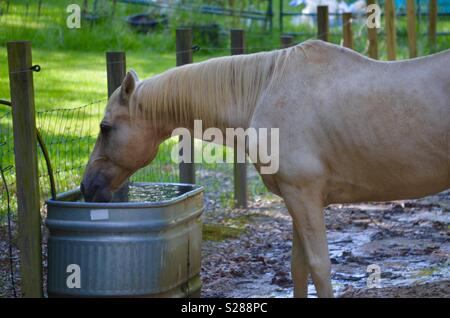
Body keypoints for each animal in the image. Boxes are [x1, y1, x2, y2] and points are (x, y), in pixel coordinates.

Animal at [81, 41, 450, 296]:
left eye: (105, 127)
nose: (87, 188)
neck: (264, 93)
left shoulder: (303, 196)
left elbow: (319, 267)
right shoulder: (299, 200)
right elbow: (299, 268)